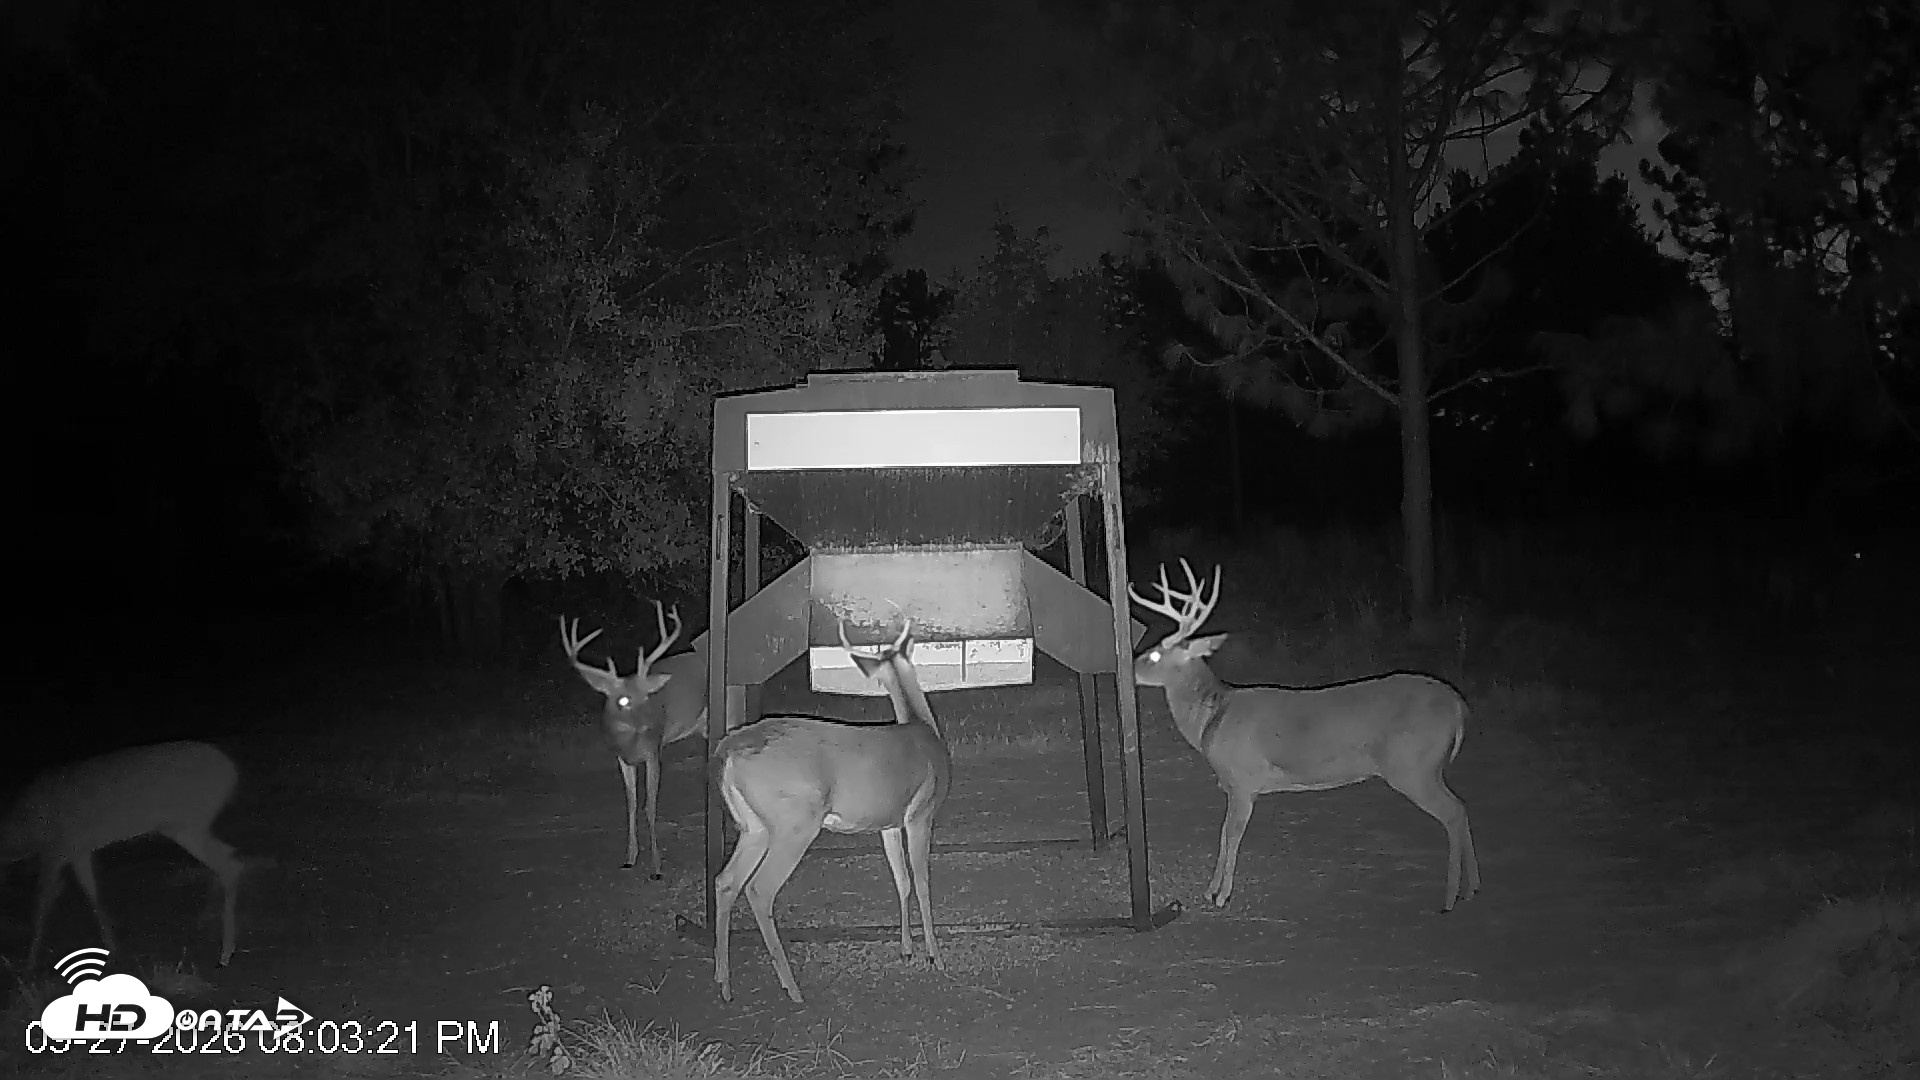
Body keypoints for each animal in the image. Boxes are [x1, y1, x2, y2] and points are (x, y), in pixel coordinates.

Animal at [1, 740, 246, 970]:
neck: (23, 832)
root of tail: (231, 772)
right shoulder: (78, 851)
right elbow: (92, 894)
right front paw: (112, 948)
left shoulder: (55, 849)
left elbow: (42, 904)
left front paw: (29, 962)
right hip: (185, 826)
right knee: (228, 857)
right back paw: (209, 924)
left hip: (188, 822)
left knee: (228, 865)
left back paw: (224, 952)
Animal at [561, 601, 735, 879]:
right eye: (623, 700)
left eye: (647, 697)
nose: (650, 724)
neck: (630, 743)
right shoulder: (622, 759)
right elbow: (631, 804)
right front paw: (630, 857)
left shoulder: (654, 752)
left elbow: (649, 805)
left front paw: (656, 866)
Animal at [712, 618, 951, 1005]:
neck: (922, 726)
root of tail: (729, 750)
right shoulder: (921, 813)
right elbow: (922, 881)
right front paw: (935, 956)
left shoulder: (887, 823)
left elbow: (900, 880)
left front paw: (906, 949)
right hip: (795, 822)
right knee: (759, 888)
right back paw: (792, 988)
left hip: (754, 827)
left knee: (725, 881)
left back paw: (724, 982)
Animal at [1129, 559, 1480, 913]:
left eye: (1155, 655)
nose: (1129, 666)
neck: (1212, 718)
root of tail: (1459, 705)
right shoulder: (1233, 784)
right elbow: (1225, 834)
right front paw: (1211, 890)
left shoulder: (1243, 781)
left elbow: (1230, 835)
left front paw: (1221, 895)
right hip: (1425, 768)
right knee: (1462, 807)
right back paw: (1472, 888)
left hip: (1413, 766)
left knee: (1453, 812)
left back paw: (1450, 898)